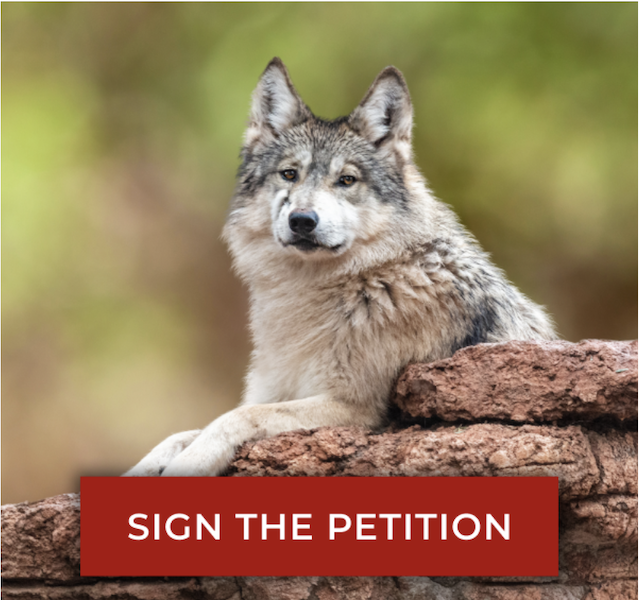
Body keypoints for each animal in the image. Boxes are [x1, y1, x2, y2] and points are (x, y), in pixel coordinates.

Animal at [125, 58, 556, 477]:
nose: (302, 220)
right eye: (289, 174)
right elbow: (182, 433)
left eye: (346, 180)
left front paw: (192, 462)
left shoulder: (353, 408)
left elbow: (235, 417)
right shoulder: (279, 389)